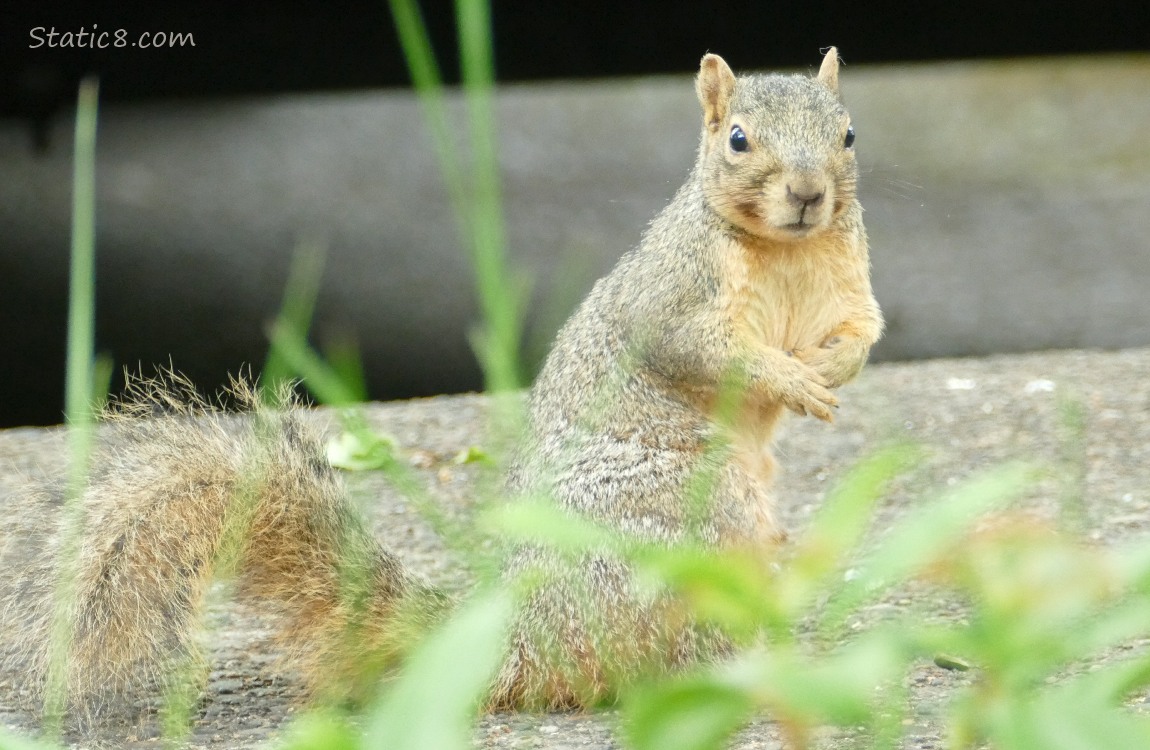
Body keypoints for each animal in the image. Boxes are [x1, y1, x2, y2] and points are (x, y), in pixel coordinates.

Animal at [0, 46, 878, 722]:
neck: (786, 252)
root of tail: (518, 640)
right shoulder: (673, 294)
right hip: (690, 526)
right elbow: (698, 349)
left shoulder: (849, 285)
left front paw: (826, 373)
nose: (808, 195)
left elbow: (863, 334)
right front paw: (790, 376)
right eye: (738, 139)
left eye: (847, 133)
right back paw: (754, 672)